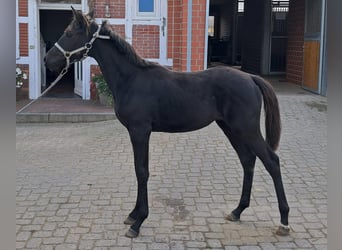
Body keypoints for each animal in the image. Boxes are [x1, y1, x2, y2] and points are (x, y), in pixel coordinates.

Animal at [44, 8, 288, 238]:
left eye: (69, 33)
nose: (48, 59)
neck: (131, 80)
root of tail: (251, 78)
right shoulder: (139, 133)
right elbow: (140, 170)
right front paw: (133, 214)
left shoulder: (140, 131)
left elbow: (141, 171)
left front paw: (138, 222)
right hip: (231, 128)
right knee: (248, 160)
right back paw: (237, 211)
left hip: (246, 129)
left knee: (272, 162)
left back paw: (284, 222)